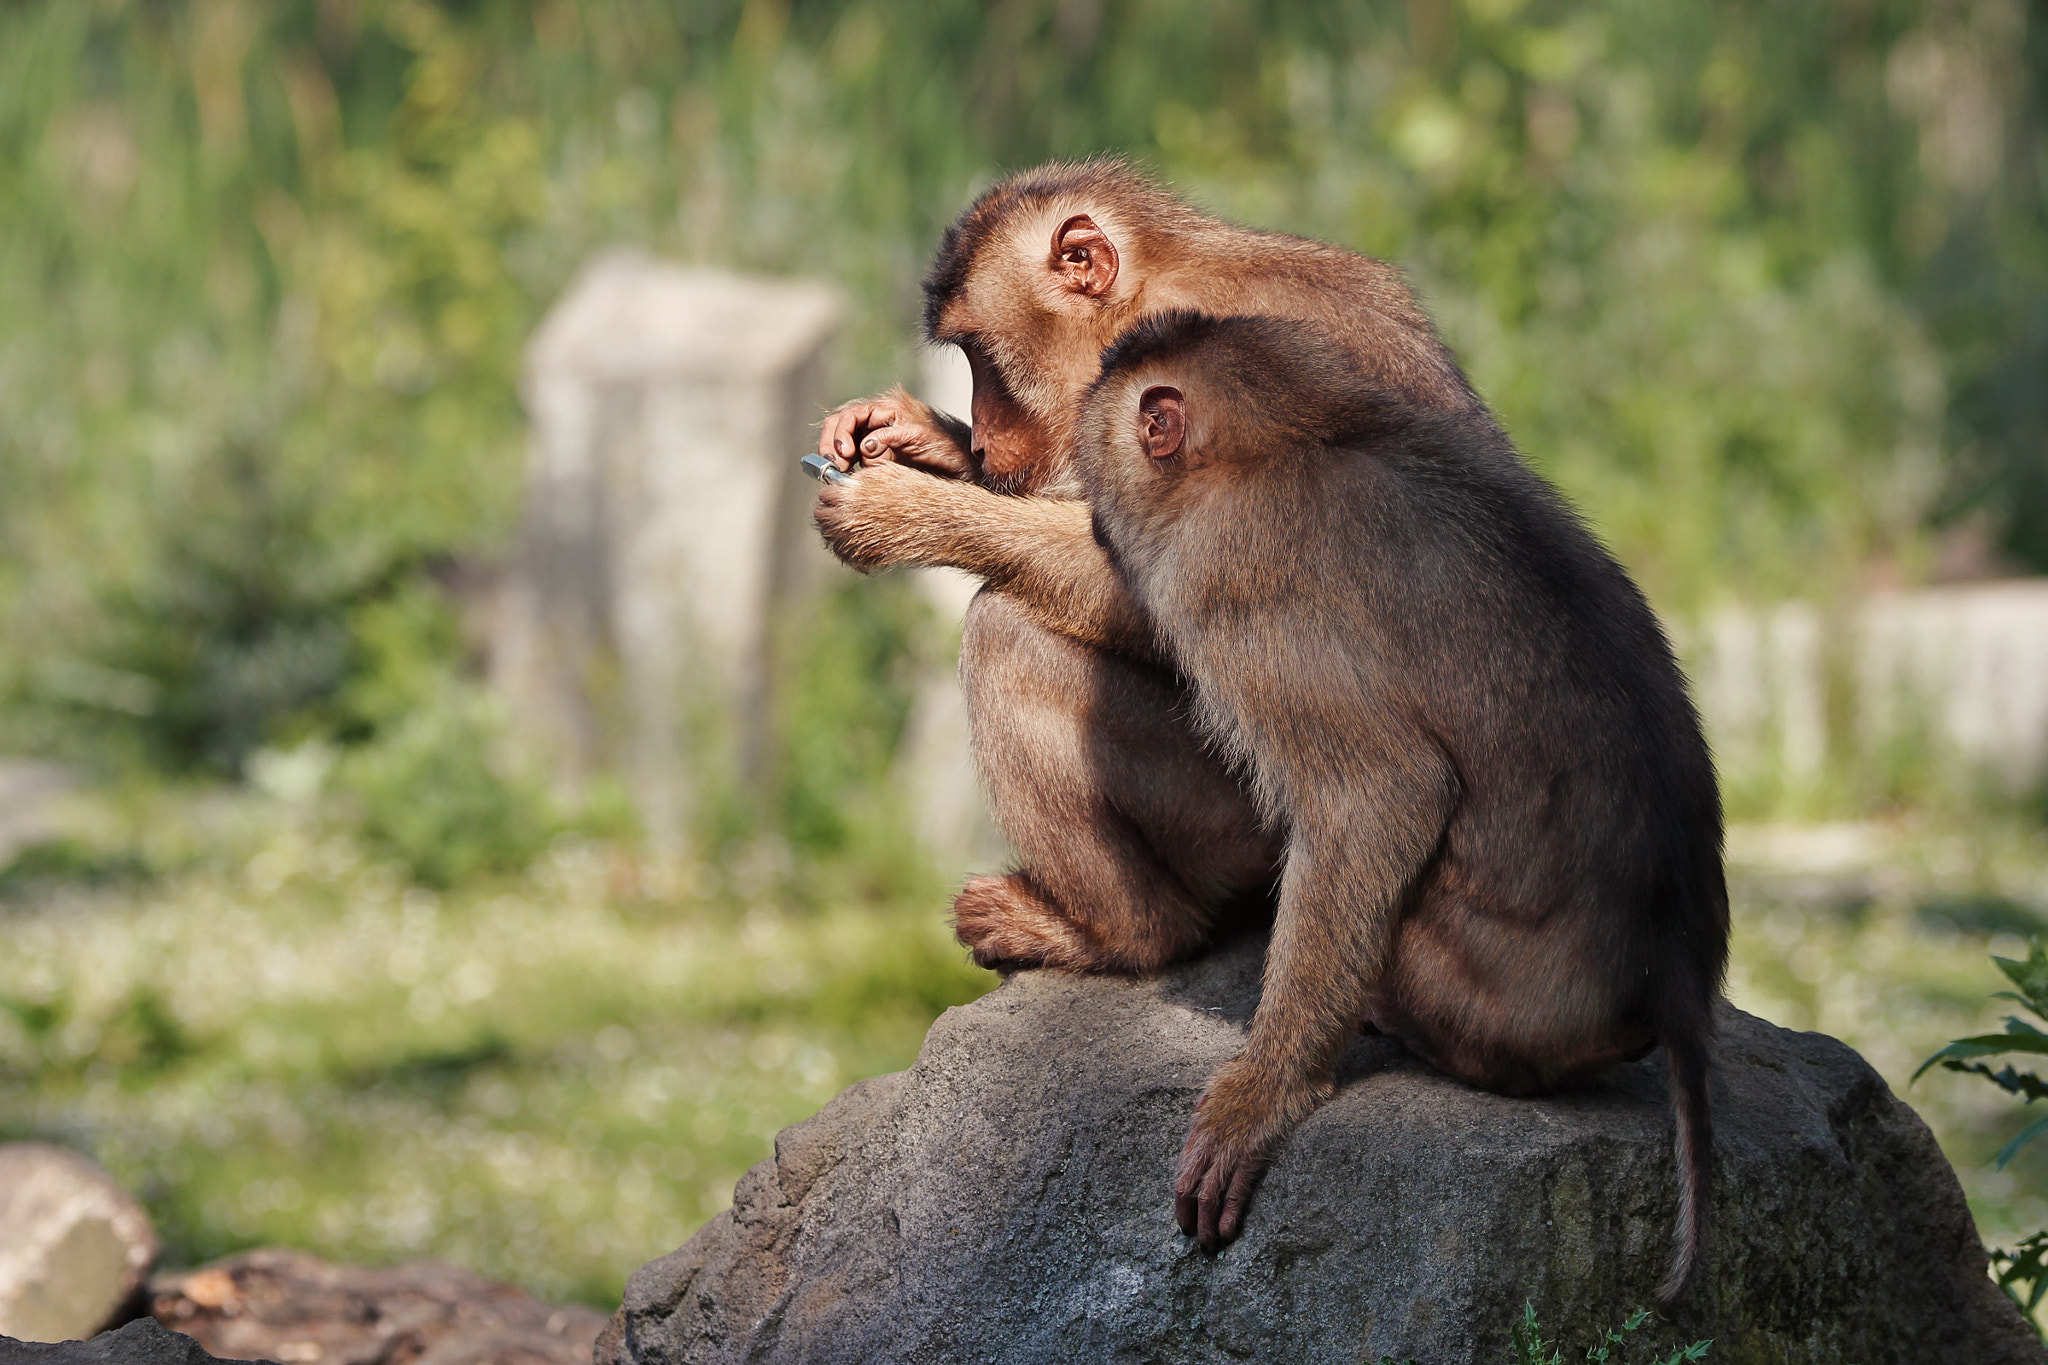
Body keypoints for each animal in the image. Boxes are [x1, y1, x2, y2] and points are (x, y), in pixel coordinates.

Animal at [813, 159, 1481, 978]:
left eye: (981, 354)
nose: (989, 438)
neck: (1158, 289)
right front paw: (925, 439)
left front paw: (903, 510)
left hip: (1243, 819)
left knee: (1006, 635)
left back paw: (1126, 935)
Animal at [1070, 309, 1728, 1307]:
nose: (1089, 514)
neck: (1285, 439)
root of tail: (1677, 972)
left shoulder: (1233, 585)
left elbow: (1381, 797)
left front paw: (1263, 1095)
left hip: (1489, 996)